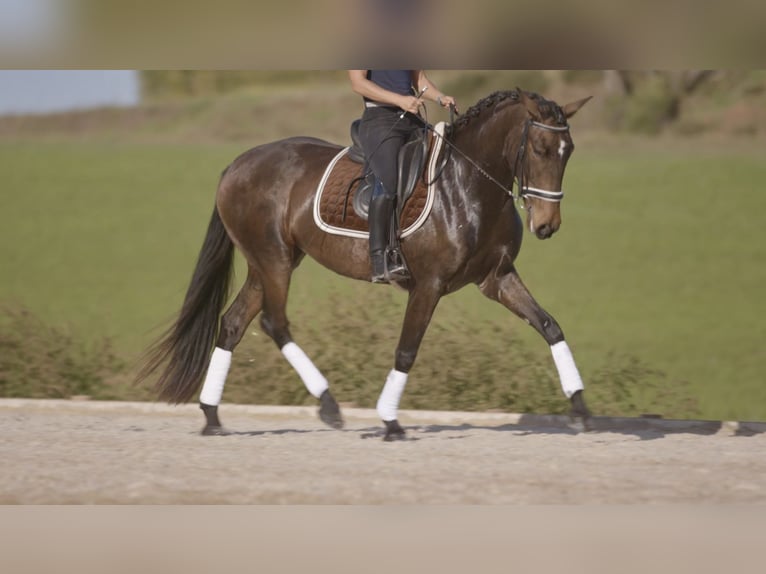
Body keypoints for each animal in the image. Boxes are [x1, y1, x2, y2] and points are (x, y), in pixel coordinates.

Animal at [136, 89, 592, 440]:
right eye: (540, 149)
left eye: (568, 152)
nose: (547, 225)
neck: (468, 183)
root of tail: (236, 165)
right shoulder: (430, 285)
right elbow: (406, 350)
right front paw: (390, 422)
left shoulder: (496, 278)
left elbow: (550, 326)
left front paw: (581, 409)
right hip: (274, 260)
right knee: (274, 322)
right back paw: (328, 405)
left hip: (268, 263)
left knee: (232, 324)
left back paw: (212, 416)